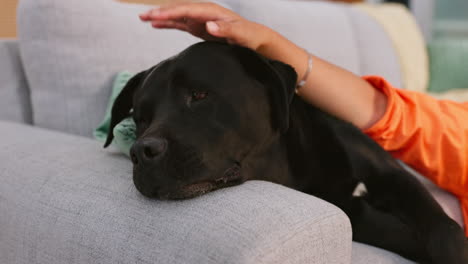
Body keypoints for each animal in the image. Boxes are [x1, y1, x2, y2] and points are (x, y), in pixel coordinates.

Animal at [106, 41, 468, 262]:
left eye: (198, 94)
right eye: (140, 118)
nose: (142, 151)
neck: (295, 164)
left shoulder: (392, 175)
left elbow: (444, 226)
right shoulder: (353, 213)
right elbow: (401, 232)